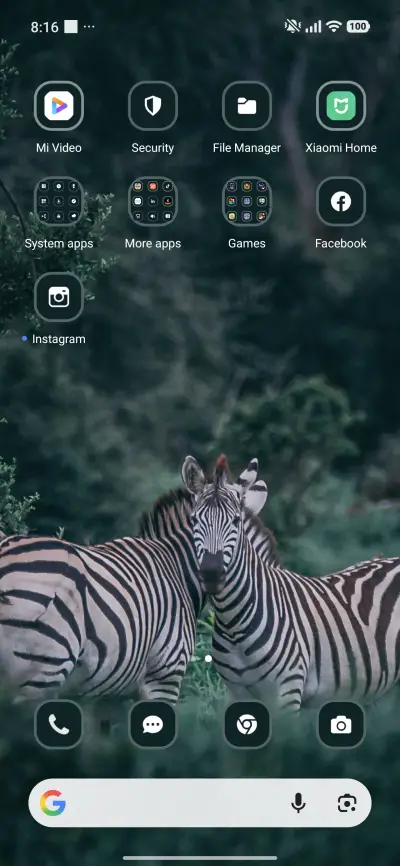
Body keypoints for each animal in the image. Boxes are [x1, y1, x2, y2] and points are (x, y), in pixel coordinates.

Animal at [0, 460, 270, 702]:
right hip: (43, 670)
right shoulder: (165, 674)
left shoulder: (107, 694)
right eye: (194, 521)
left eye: (235, 522)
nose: (212, 574)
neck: (178, 569)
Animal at [181, 453, 400, 712]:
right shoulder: (236, 693)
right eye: (194, 520)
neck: (234, 623)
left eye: (235, 521)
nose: (212, 574)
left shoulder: (288, 690)